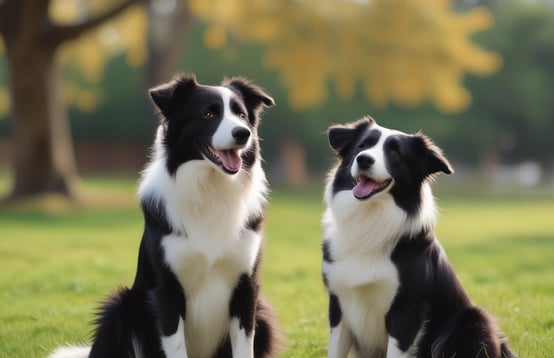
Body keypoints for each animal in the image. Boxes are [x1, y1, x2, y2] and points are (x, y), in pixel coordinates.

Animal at [49, 73, 278, 358]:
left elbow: (244, 348)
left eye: (242, 115)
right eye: (208, 114)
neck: (211, 190)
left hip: (263, 314)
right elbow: (176, 346)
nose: (243, 133)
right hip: (120, 308)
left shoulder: (246, 287)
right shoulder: (167, 289)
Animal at [320, 117, 512, 358]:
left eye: (394, 152)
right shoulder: (338, 301)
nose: (363, 159)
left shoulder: (407, 308)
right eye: (362, 145)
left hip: (473, 319)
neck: (370, 219)